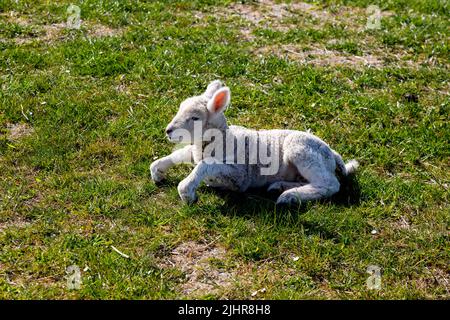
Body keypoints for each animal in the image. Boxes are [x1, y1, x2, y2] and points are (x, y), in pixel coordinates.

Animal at [150, 80, 358, 205]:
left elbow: (205, 166)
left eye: (195, 118)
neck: (222, 140)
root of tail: (332, 153)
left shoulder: (239, 177)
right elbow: (177, 155)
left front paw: (186, 192)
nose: (168, 131)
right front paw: (157, 172)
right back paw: (280, 187)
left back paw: (289, 197)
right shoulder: (195, 152)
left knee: (330, 184)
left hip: (302, 150)